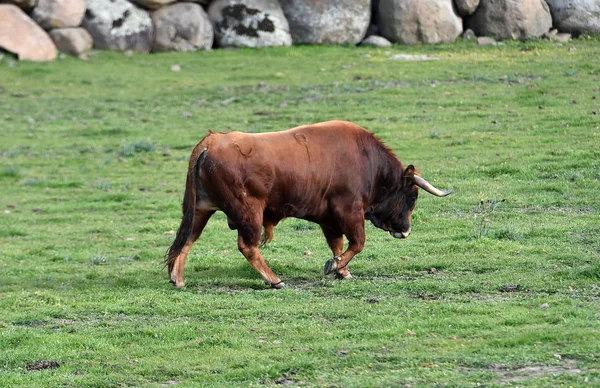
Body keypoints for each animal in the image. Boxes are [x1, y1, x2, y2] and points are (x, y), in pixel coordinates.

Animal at [164, 121, 450, 288]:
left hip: (201, 209)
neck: (370, 163)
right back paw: (274, 279)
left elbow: (338, 244)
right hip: (248, 212)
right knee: (247, 246)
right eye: (412, 197)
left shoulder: (329, 219)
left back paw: (177, 278)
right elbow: (357, 243)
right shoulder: (349, 211)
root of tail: (210, 142)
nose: (405, 231)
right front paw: (335, 266)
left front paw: (341, 270)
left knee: (187, 240)